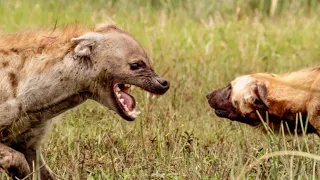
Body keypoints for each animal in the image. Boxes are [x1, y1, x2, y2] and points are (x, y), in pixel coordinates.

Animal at [0, 23, 170, 179]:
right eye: (136, 64)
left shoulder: (30, 143)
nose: (164, 83)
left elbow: (45, 172)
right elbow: (17, 159)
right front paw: (19, 172)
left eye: (149, 62)